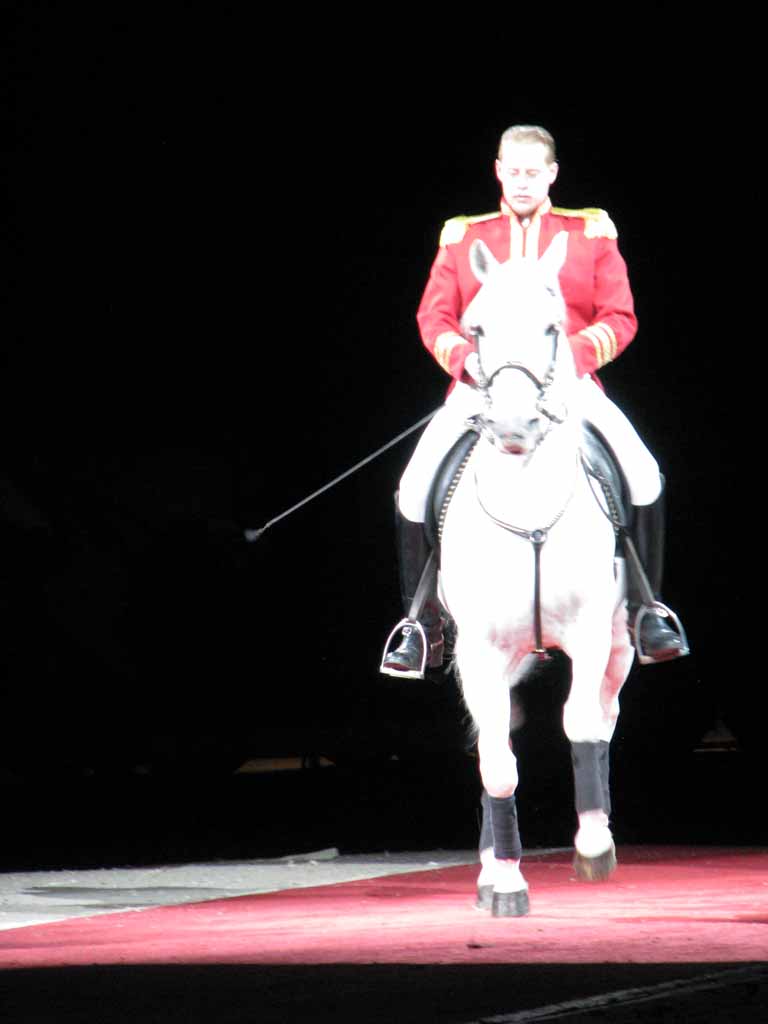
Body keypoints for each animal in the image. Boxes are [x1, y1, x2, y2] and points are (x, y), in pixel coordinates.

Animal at [438, 234, 638, 921]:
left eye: (554, 327)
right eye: (476, 328)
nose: (514, 428)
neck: (526, 506)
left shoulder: (590, 632)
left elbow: (581, 723)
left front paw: (592, 846)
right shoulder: (478, 651)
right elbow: (497, 758)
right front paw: (504, 881)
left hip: (621, 641)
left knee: (606, 713)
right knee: (491, 735)